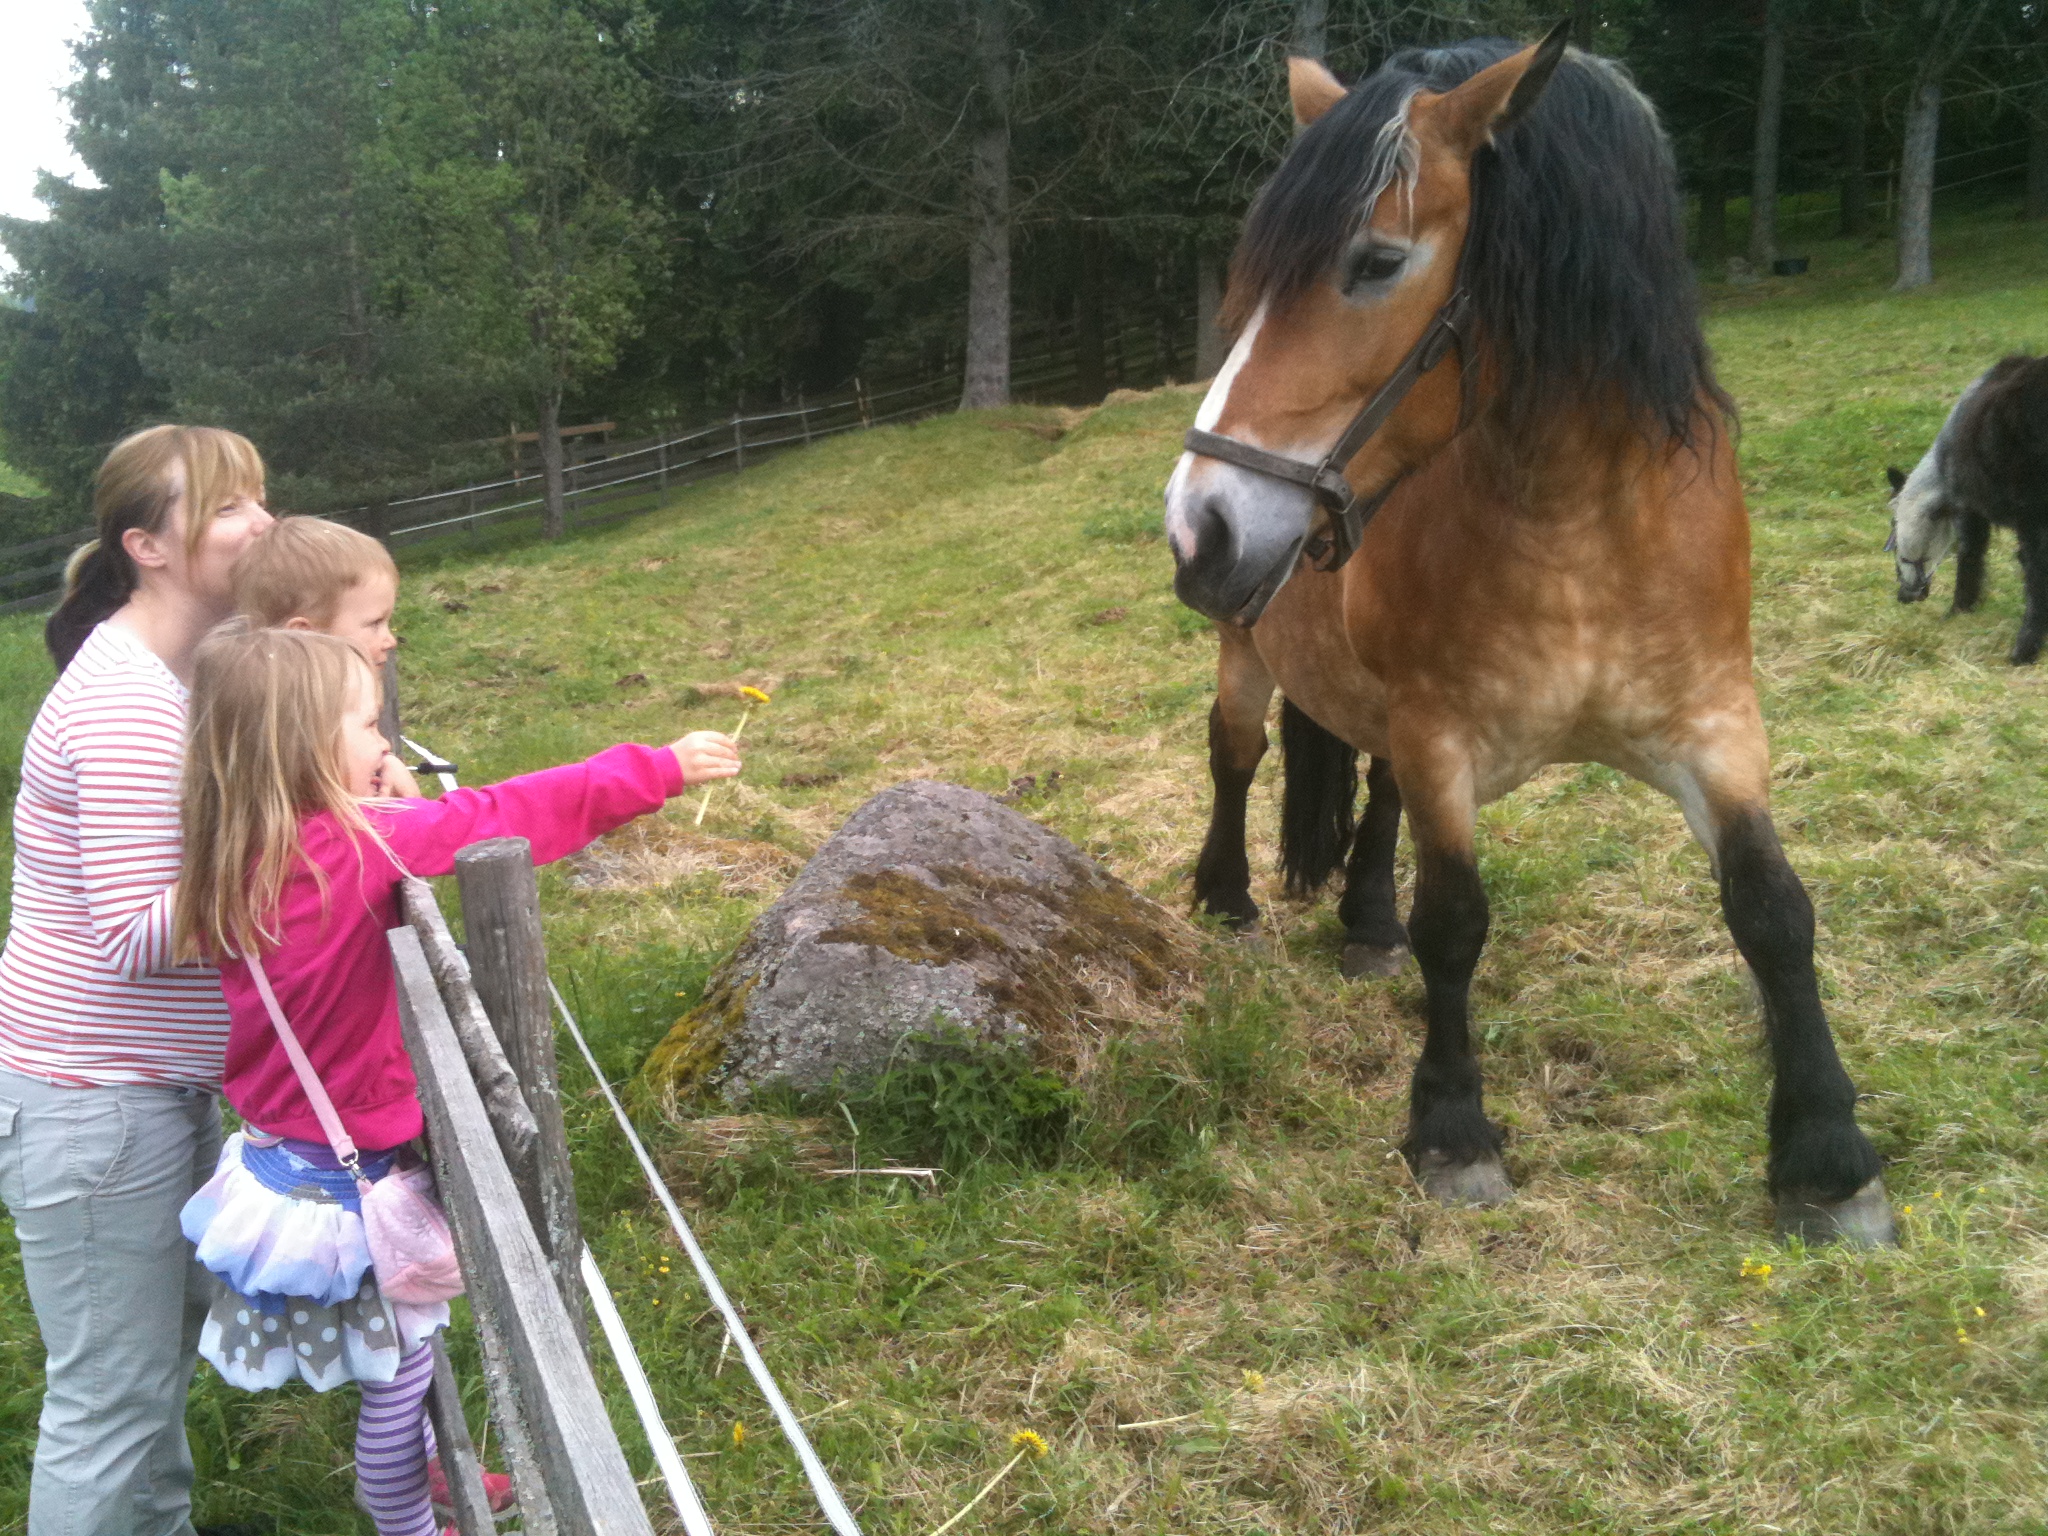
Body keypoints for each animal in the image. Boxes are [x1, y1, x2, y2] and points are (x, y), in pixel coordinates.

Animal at [1162, 26, 1895, 1246]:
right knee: (1237, 757)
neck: (1578, 527)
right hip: (1248, 652)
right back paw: (1226, 903)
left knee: (1372, 798)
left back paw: (1365, 926)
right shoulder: (1441, 736)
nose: (1196, 524)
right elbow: (1456, 920)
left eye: (1375, 261)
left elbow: (1773, 910)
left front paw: (1826, 1155)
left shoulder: (1715, 726)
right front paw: (1452, 1130)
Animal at [1887, 353, 2048, 664]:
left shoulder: (1969, 509)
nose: (1903, 597)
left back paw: (2022, 651)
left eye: (1893, 534)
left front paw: (1958, 610)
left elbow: (1970, 555)